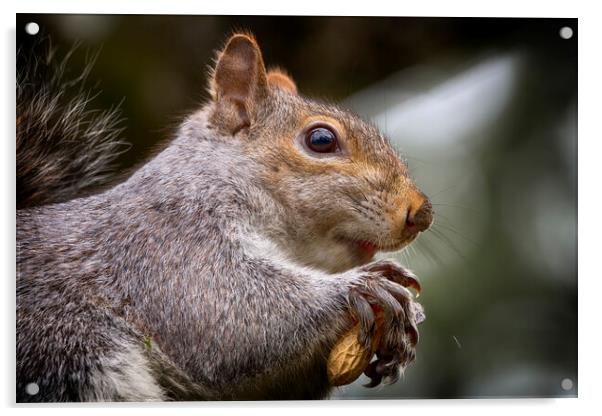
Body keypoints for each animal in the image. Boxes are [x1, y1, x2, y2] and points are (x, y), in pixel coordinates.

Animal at [16, 33, 434, 404]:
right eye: (321, 140)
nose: (421, 213)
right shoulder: (164, 243)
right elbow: (223, 313)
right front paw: (364, 286)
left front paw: (401, 336)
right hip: (69, 346)